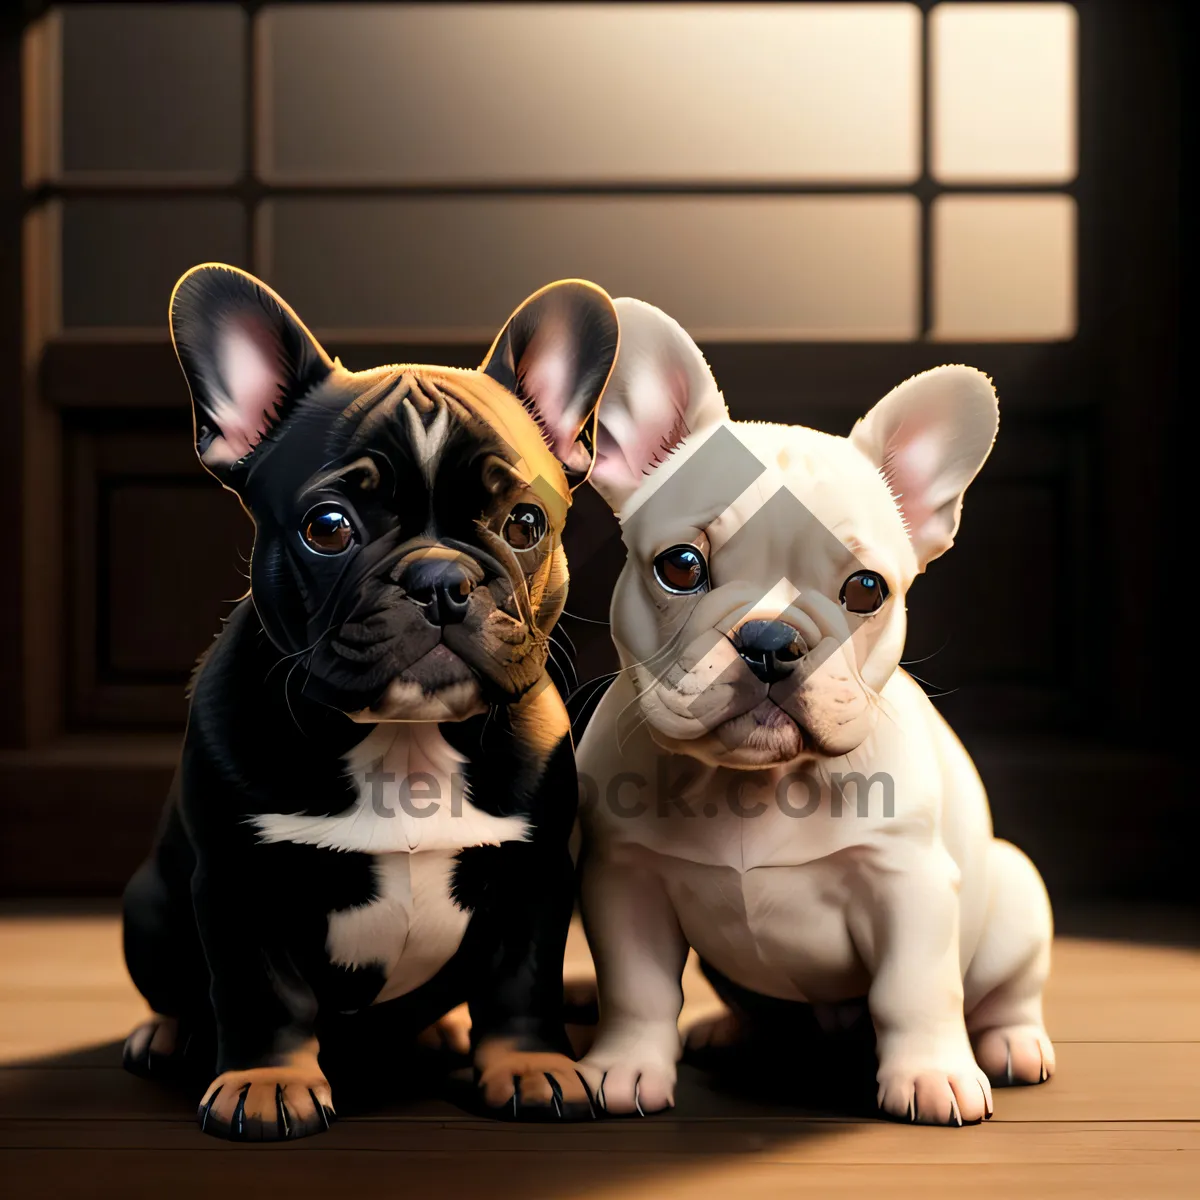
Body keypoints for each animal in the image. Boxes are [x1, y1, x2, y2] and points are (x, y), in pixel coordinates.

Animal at [121, 267, 619, 1137]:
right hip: (149, 904)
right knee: (180, 988)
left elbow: (522, 982)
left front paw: (531, 1066)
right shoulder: (239, 881)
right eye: (328, 527)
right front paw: (265, 1081)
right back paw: (169, 1034)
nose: (440, 579)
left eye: (525, 522)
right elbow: (261, 993)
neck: (405, 737)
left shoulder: (534, 874)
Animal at [576, 297, 1056, 1123]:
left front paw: (930, 1076)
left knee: (1004, 994)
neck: (753, 785)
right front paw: (626, 1068)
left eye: (866, 589)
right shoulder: (625, 881)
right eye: (680, 567)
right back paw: (727, 1033)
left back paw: (1013, 1045)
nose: (771, 640)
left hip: (1017, 894)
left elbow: (915, 991)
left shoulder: (908, 883)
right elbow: (638, 990)